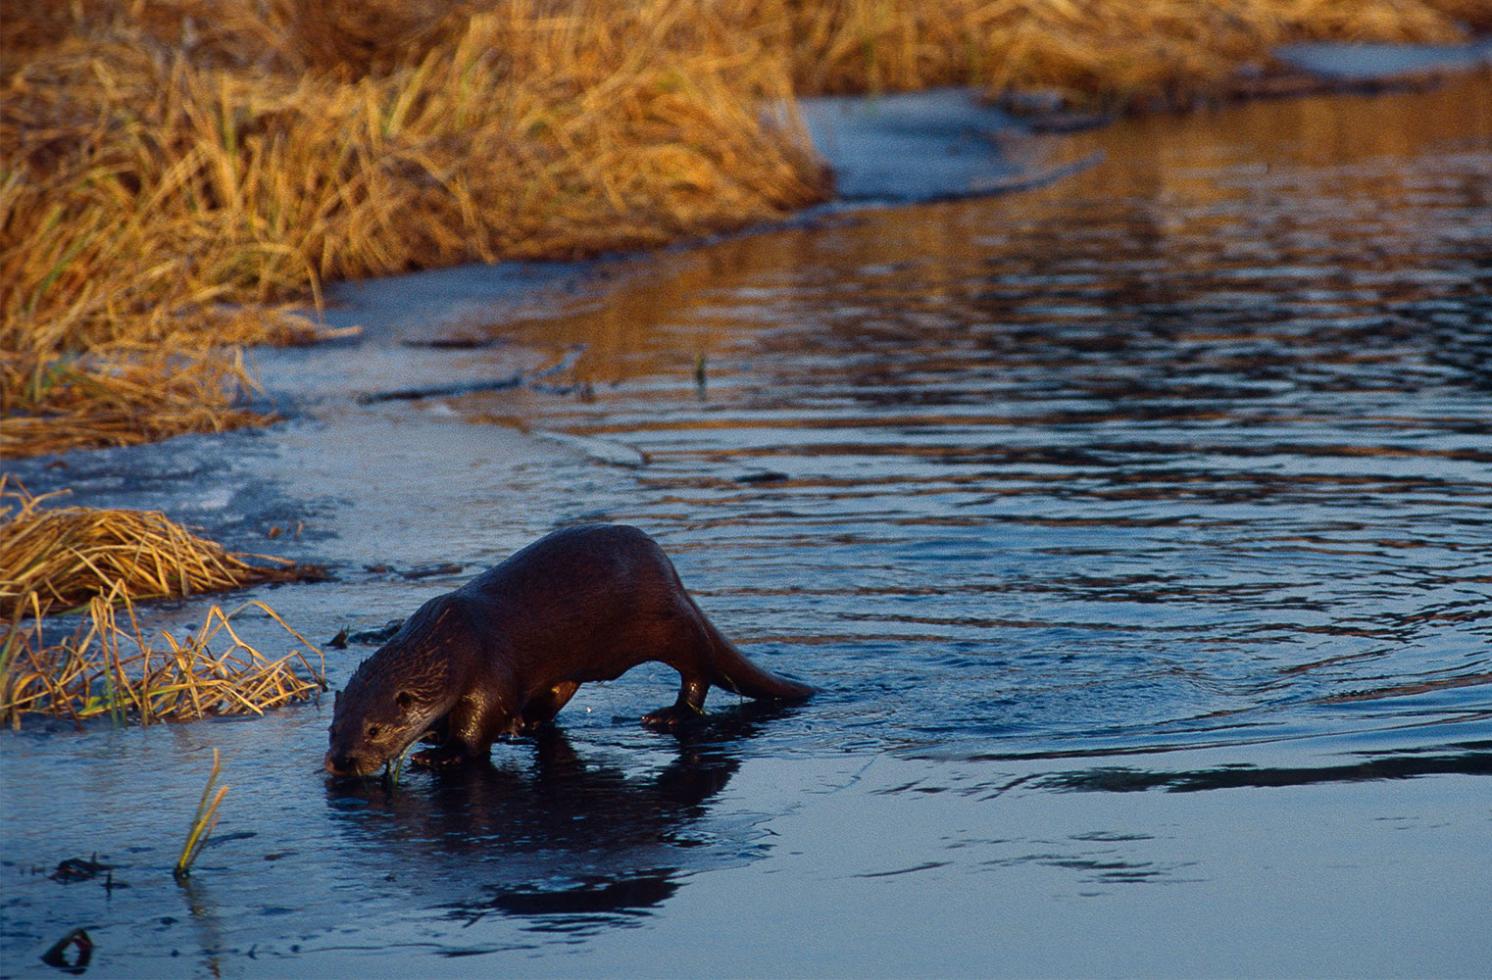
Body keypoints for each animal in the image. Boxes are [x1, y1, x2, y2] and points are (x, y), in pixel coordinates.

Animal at [328, 525, 817, 775]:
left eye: (374, 730)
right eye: (334, 729)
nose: (341, 762)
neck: (450, 641)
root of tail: (673, 576)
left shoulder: (489, 670)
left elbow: (480, 723)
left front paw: (445, 752)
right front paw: (435, 734)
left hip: (669, 624)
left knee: (699, 667)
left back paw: (670, 714)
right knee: (558, 692)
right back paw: (525, 723)